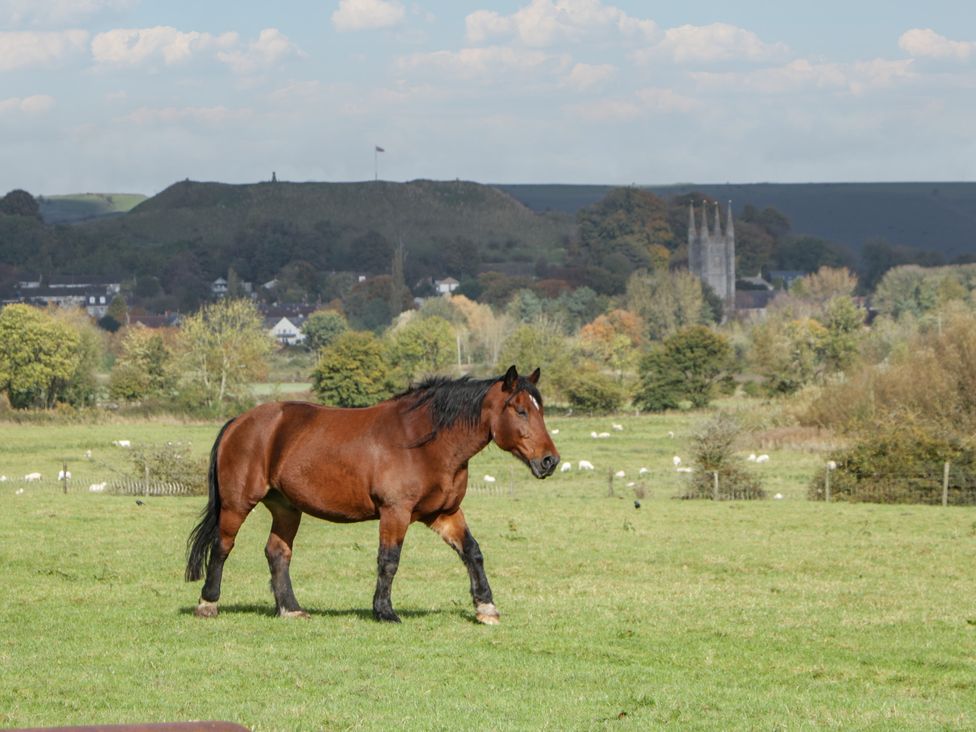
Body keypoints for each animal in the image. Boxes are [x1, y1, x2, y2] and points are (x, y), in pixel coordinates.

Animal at [186, 366, 560, 624]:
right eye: (520, 410)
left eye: (540, 409)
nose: (550, 460)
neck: (424, 442)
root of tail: (239, 421)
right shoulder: (395, 512)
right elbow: (388, 560)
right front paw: (384, 611)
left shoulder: (444, 513)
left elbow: (473, 553)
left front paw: (486, 607)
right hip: (237, 504)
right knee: (222, 547)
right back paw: (208, 604)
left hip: (287, 508)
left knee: (277, 552)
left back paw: (290, 609)